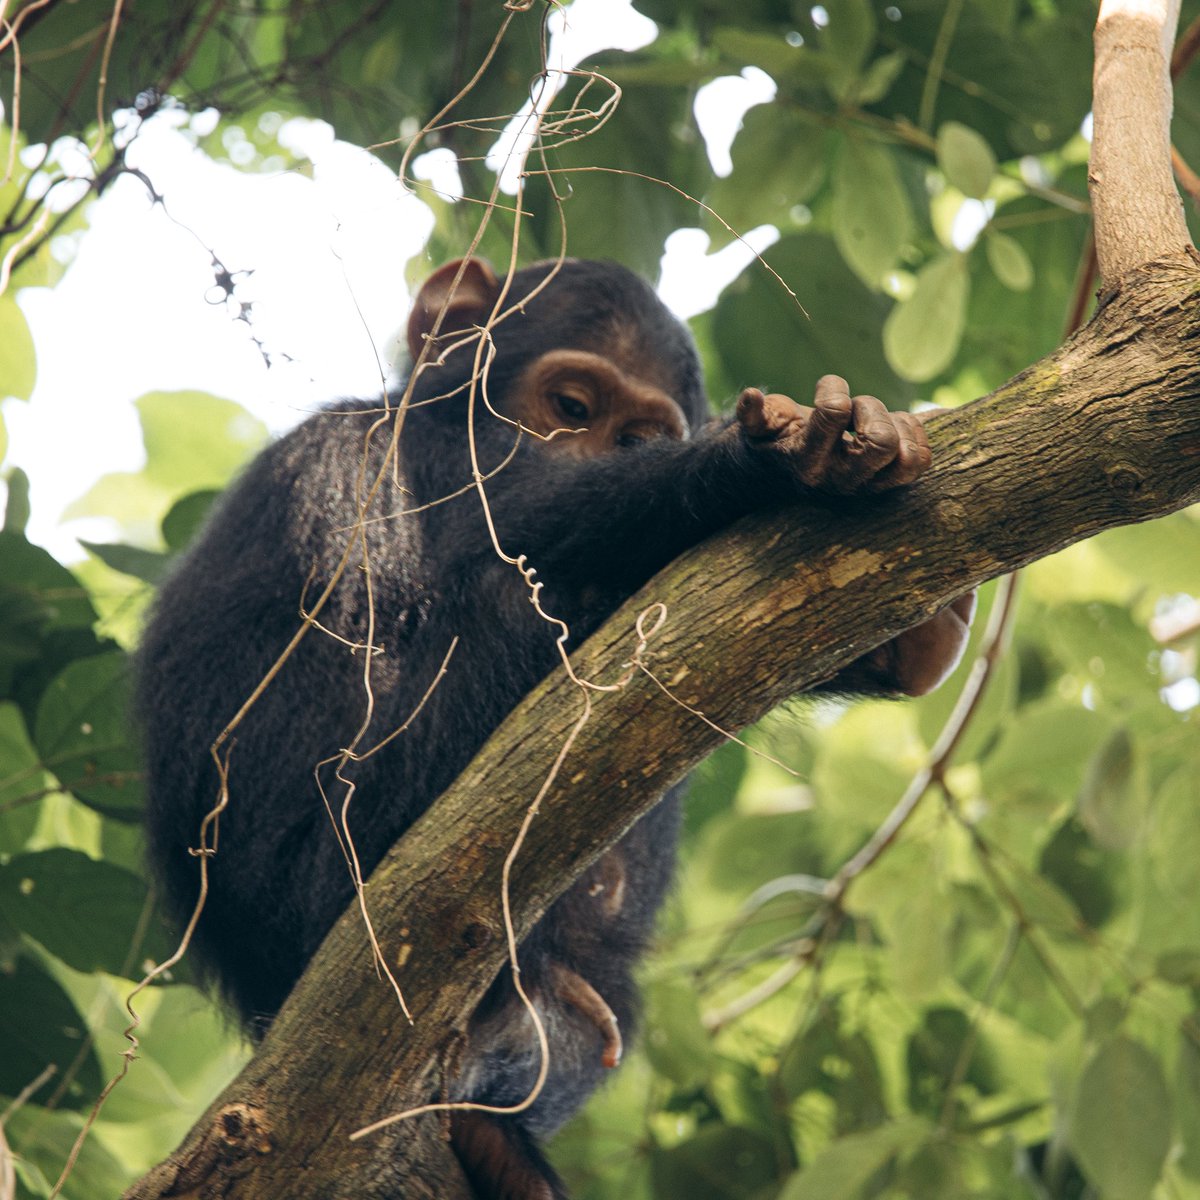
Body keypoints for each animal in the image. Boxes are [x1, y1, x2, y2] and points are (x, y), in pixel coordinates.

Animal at [136, 256, 974, 1199]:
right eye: (571, 408)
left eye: (633, 437)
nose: (588, 446)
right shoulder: (402, 459)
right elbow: (526, 521)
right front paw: (769, 460)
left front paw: (915, 630)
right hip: (336, 884)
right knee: (524, 598)